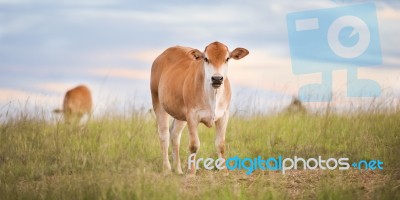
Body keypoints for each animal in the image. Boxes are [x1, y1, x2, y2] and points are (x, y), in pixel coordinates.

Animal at [151, 41, 248, 174]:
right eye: (206, 59)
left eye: (227, 58)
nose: (217, 78)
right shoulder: (192, 115)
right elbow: (194, 145)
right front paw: (191, 172)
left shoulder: (224, 115)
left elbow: (220, 144)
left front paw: (224, 171)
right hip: (157, 101)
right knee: (164, 135)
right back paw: (167, 169)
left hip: (180, 114)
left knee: (175, 135)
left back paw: (178, 170)